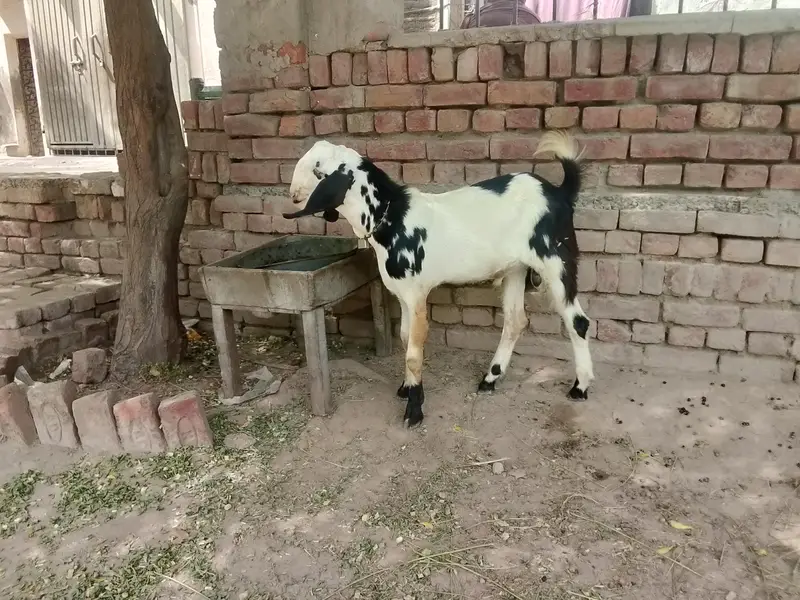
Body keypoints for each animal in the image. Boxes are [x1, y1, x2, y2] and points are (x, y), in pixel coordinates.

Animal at [284, 131, 594, 428]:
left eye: (317, 169)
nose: (293, 194)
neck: (393, 218)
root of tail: (559, 192)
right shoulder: (402, 295)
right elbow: (405, 337)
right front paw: (407, 388)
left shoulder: (417, 294)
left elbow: (413, 351)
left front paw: (414, 409)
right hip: (515, 268)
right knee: (515, 321)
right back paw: (491, 378)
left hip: (556, 260)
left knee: (577, 321)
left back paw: (580, 387)